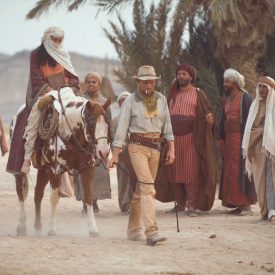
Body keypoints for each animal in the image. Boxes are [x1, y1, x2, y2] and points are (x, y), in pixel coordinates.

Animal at [13, 91, 111, 237]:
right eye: (92, 124)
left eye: (107, 123)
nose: (103, 152)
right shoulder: (56, 170)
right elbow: (54, 198)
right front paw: (52, 229)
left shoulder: (88, 169)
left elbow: (89, 196)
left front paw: (93, 229)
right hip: (22, 170)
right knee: (21, 193)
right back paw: (22, 226)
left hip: (44, 169)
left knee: (38, 193)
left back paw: (38, 226)